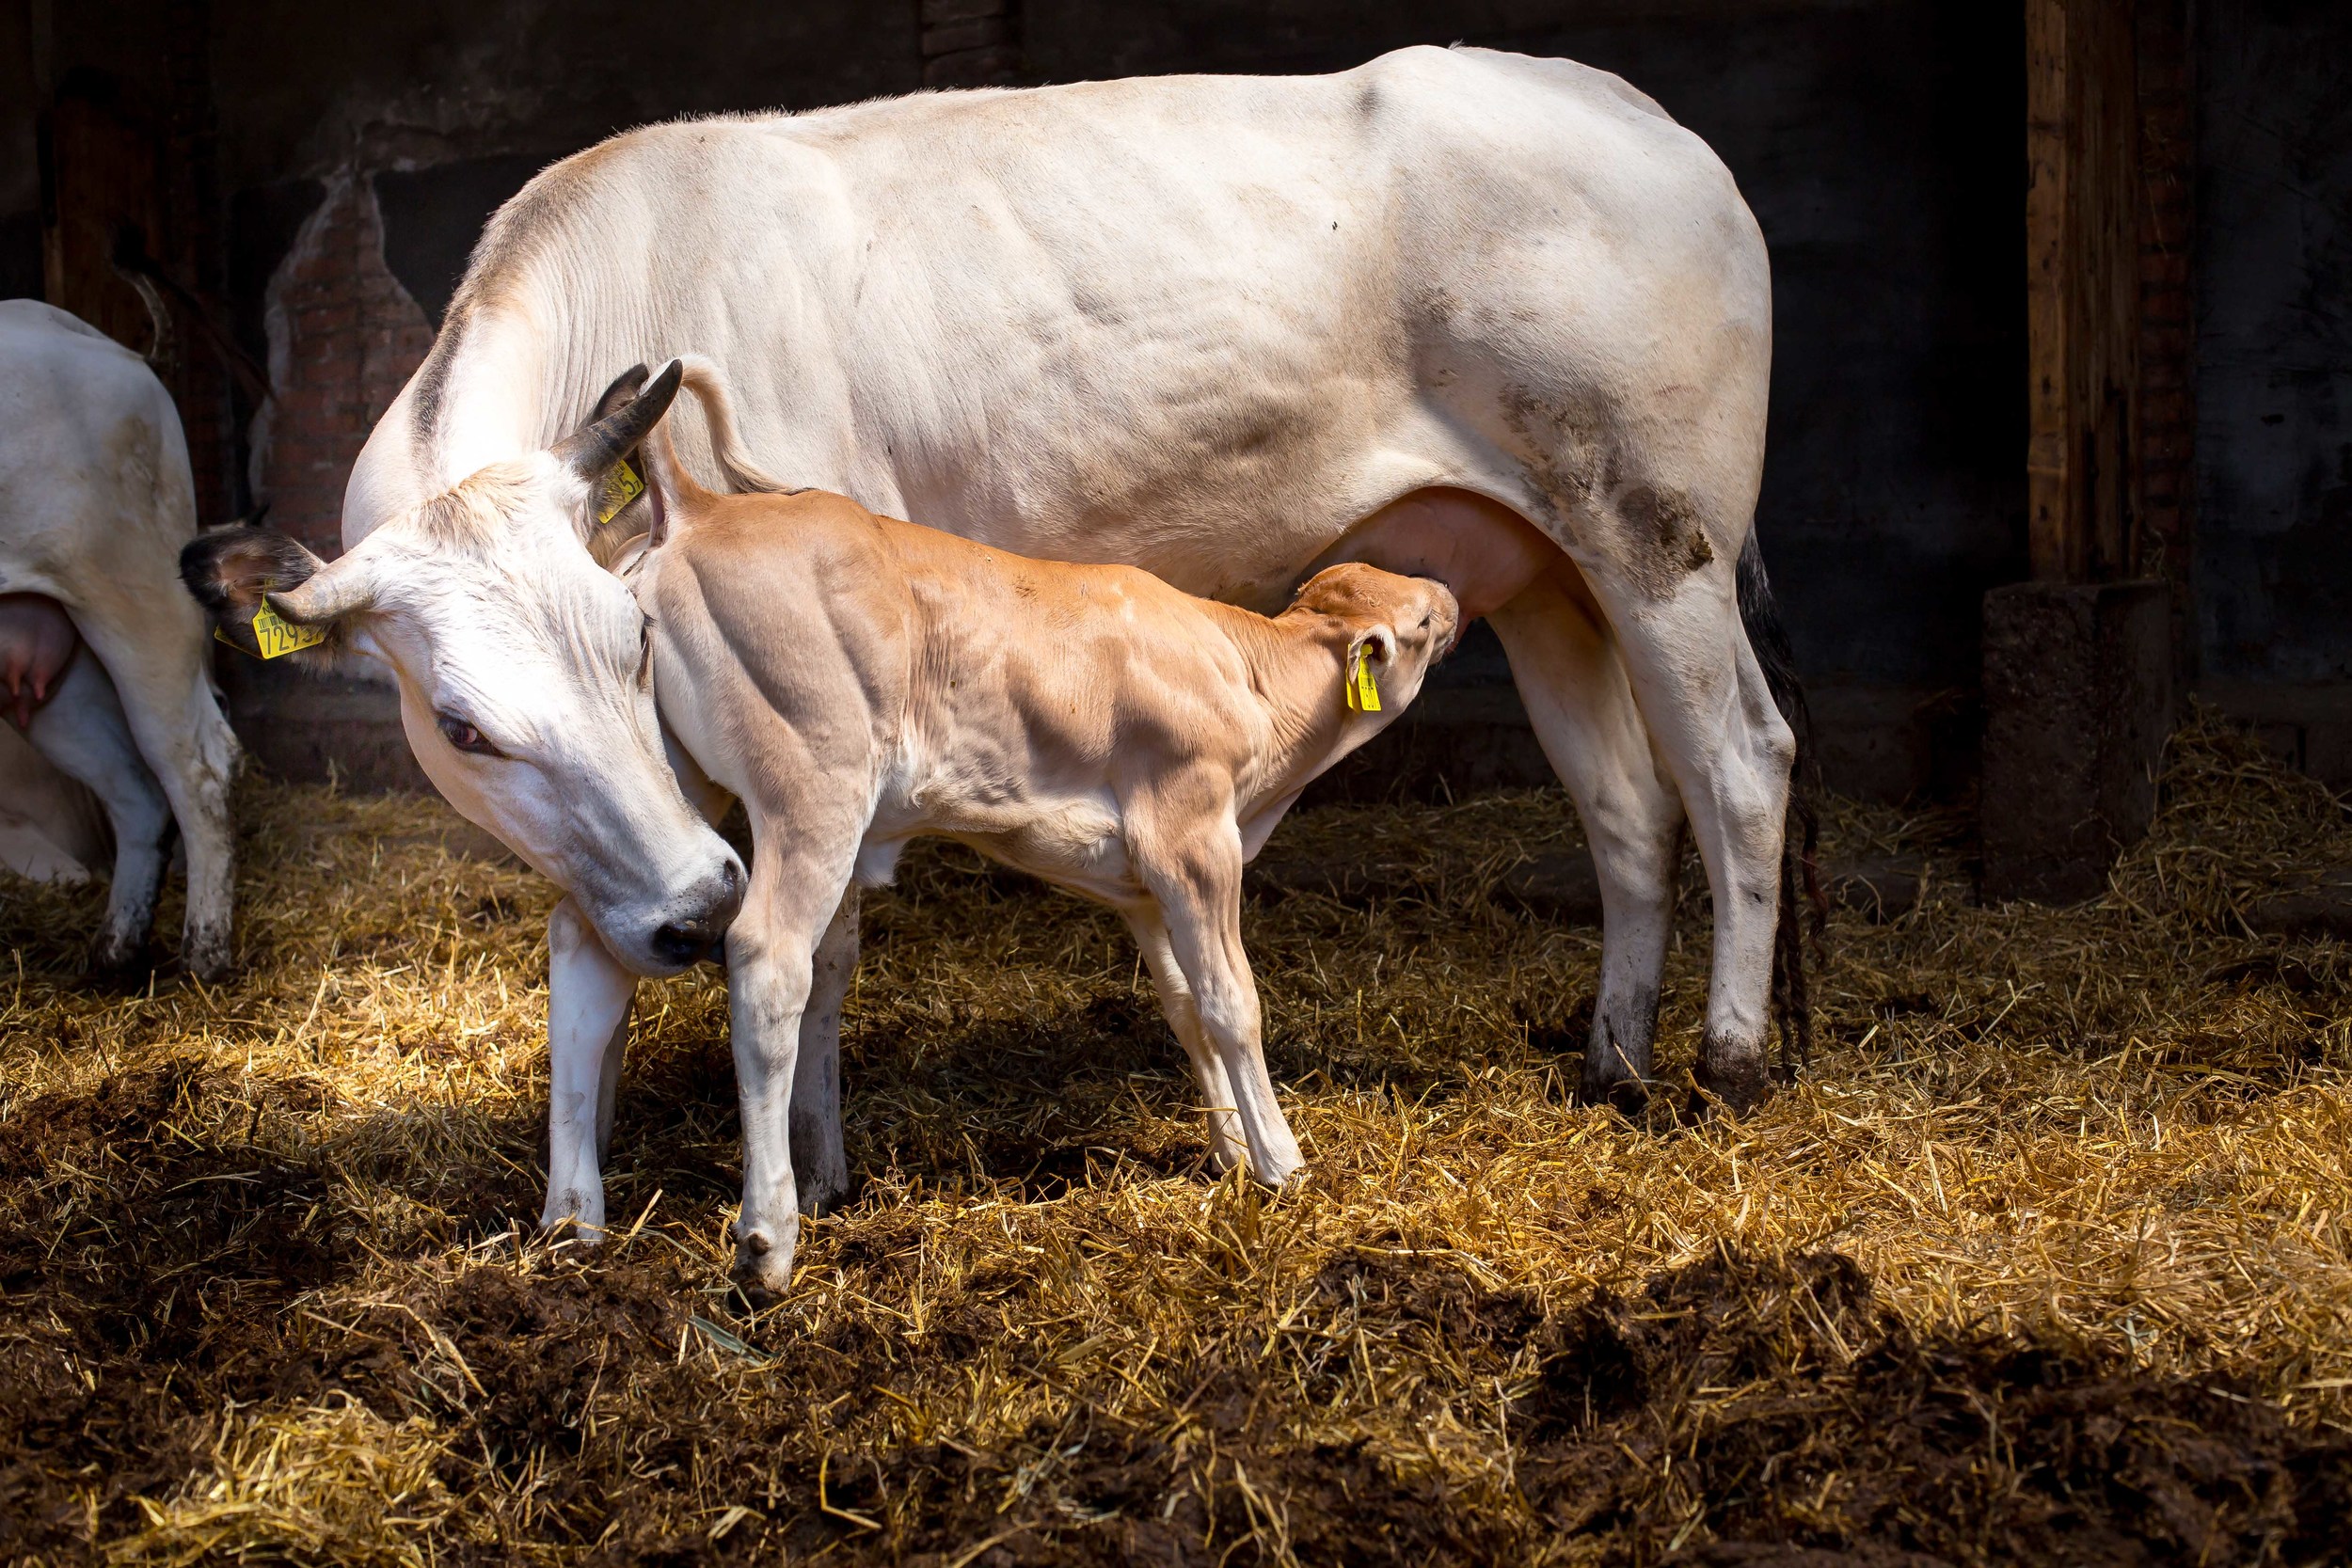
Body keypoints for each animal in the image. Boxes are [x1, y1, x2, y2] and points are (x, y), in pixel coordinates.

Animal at [0, 298, 241, 973]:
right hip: (51, 668)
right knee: (134, 790)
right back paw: (115, 949)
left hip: (137, 602)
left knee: (199, 764)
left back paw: (204, 952)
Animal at [183, 49, 1797, 1288]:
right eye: (461, 725)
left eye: (635, 646)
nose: (688, 914)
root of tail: (1635, 111)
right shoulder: (644, 819)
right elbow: (586, 963)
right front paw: (574, 1209)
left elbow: (819, 942)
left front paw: (814, 1170)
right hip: (1542, 574)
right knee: (1624, 806)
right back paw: (1613, 1055)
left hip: (1661, 536)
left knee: (1739, 766)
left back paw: (1729, 1053)